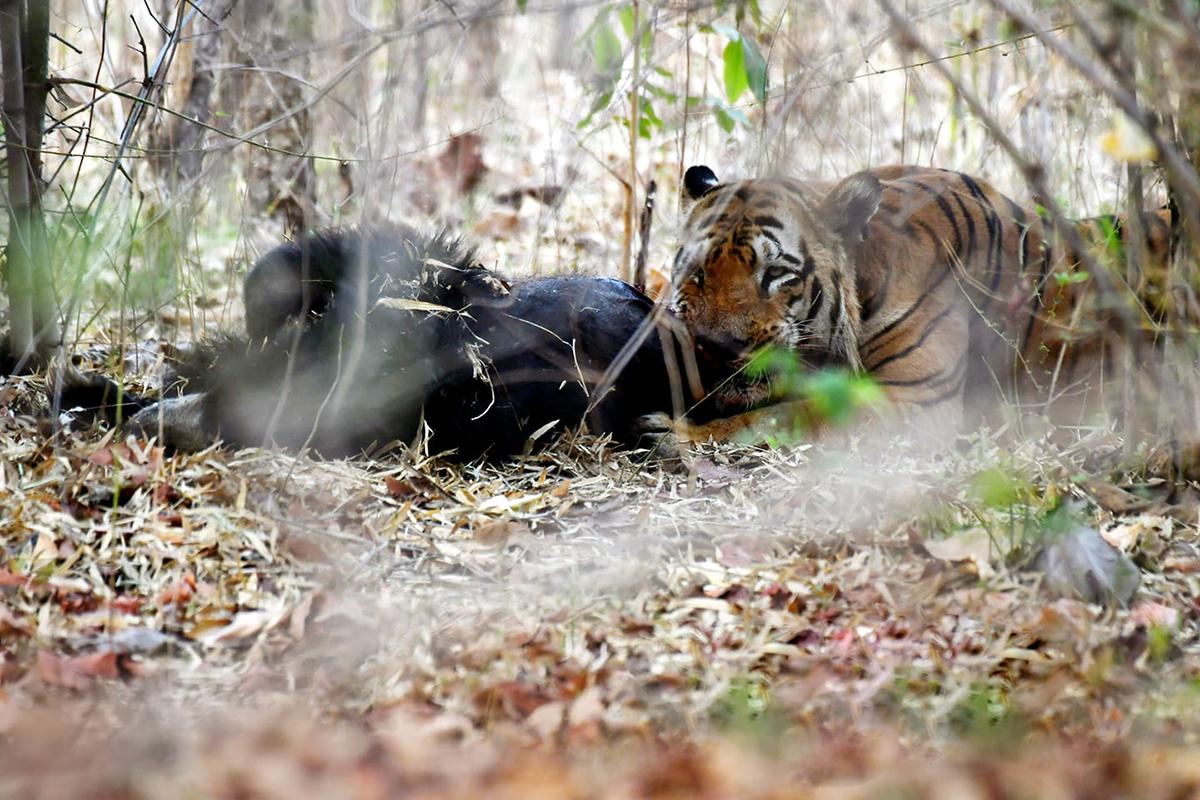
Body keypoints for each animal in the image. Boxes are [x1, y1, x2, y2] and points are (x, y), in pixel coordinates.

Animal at [667, 161, 1190, 443]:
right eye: (697, 271)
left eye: (775, 274)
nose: (715, 346)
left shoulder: (910, 401)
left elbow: (786, 416)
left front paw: (677, 436)